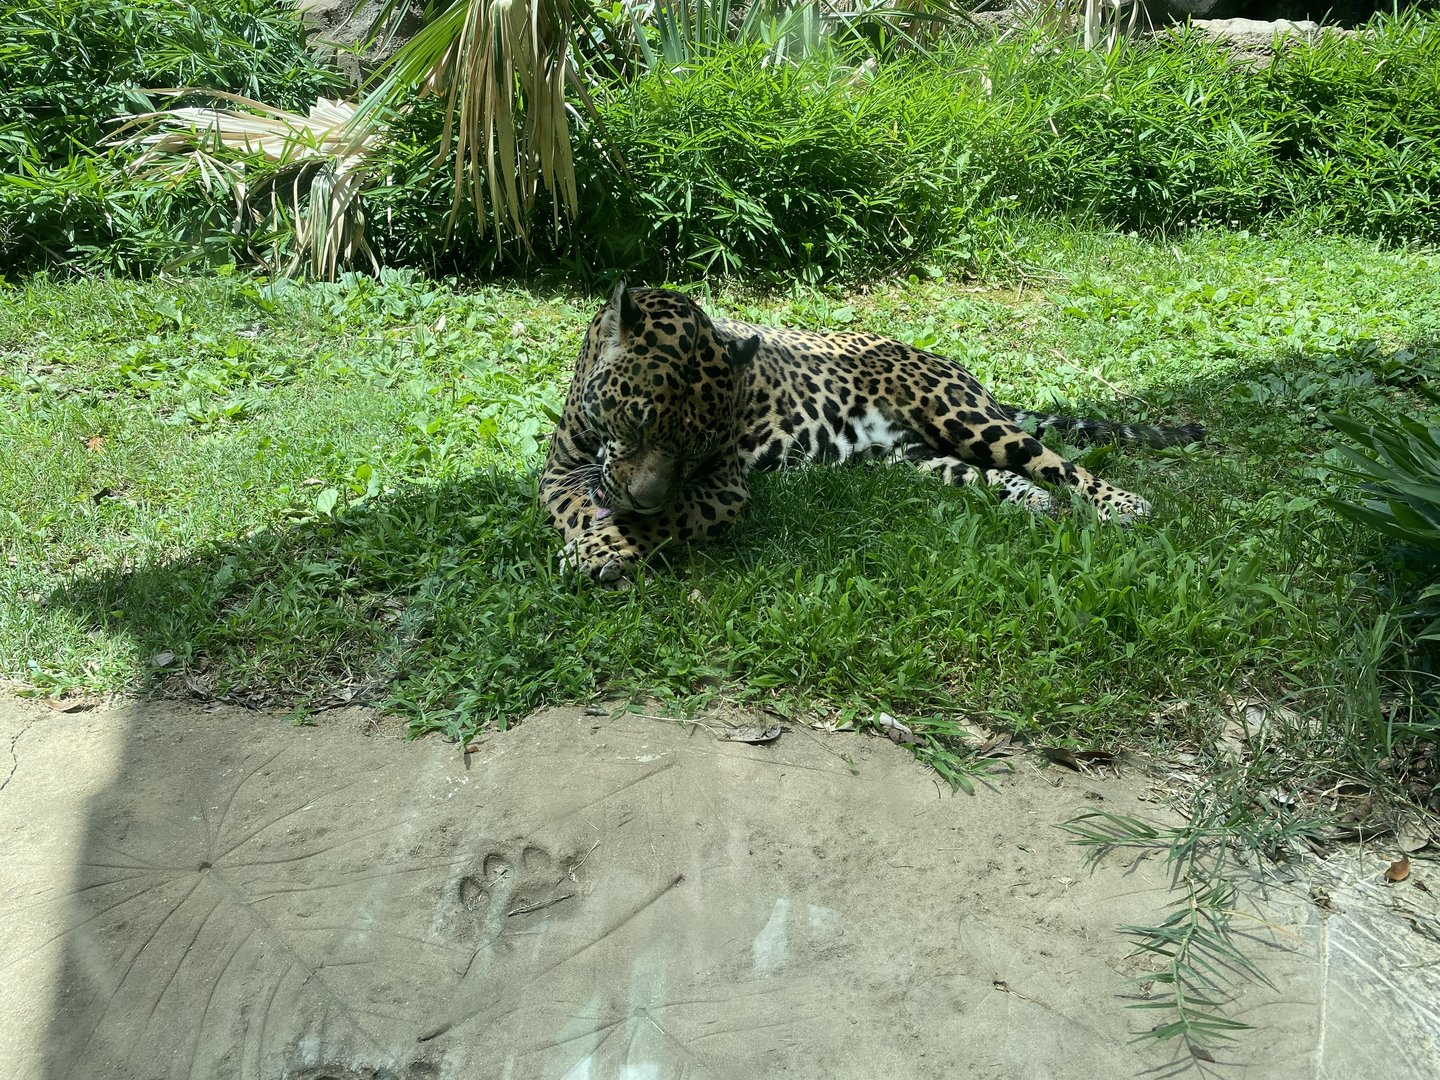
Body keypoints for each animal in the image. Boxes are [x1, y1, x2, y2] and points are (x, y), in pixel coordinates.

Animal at [541, 283, 1203, 586]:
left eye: (702, 444)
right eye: (640, 420)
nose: (642, 496)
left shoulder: (722, 486)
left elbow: (664, 516)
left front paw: (610, 544)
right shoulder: (559, 470)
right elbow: (577, 504)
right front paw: (598, 542)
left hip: (962, 416)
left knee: (1057, 462)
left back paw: (1122, 504)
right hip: (910, 457)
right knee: (987, 472)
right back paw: (1032, 501)